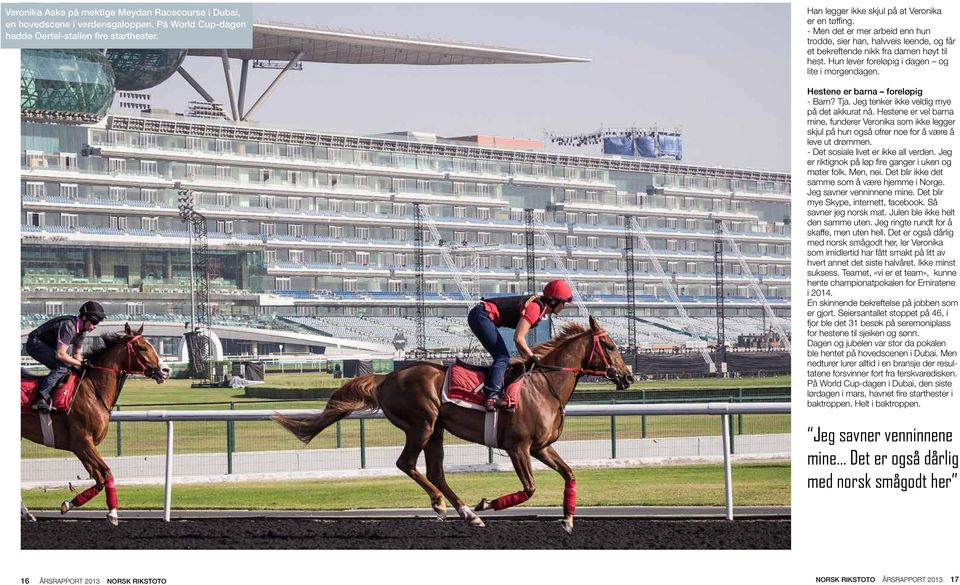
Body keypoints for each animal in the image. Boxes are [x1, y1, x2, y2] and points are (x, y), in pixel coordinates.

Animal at [21, 324, 171, 524]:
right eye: (142, 348)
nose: (166, 370)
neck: (93, 390)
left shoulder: (82, 447)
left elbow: (99, 480)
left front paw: (68, 504)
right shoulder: (82, 442)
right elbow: (107, 472)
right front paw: (113, 513)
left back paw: (28, 513)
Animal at [276, 318, 636, 532]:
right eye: (611, 346)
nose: (628, 376)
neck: (543, 386)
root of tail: (385, 377)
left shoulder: (541, 447)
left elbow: (569, 474)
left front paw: (568, 519)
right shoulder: (518, 447)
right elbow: (530, 488)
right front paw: (488, 503)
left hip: (435, 430)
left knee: (435, 472)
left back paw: (465, 512)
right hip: (421, 424)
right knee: (406, 463)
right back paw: (442, 504)